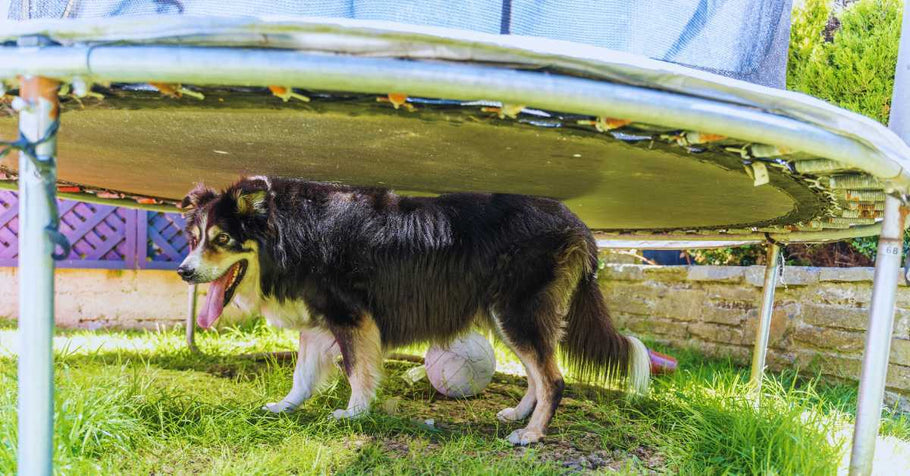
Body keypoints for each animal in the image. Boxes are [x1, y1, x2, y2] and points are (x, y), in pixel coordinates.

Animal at [178, 176, 648, 446]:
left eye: (222, 240)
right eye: (194, 238)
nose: (183, 272)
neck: (287, 229)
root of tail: (575, 222)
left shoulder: (351, 317)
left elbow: (357, 371)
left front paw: (354, 413)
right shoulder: (319, 318)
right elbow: (303, 375)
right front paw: (285, 407)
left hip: (517, 312)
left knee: (553, 378)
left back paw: (532, 434)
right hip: (506, 317)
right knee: (538, 374)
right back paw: (520, 414)